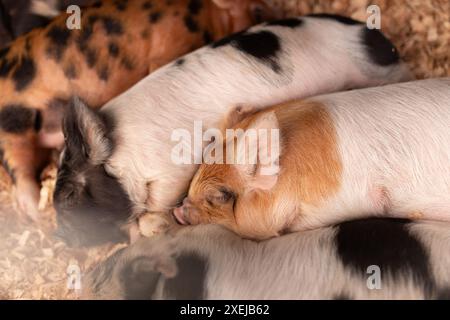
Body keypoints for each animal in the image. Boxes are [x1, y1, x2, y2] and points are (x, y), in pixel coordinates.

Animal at [0, 0, 276, 220]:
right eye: (258, 9)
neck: (205, 14)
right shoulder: (172, 44)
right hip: (13, 128)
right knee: (20, 172)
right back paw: (38, 213)